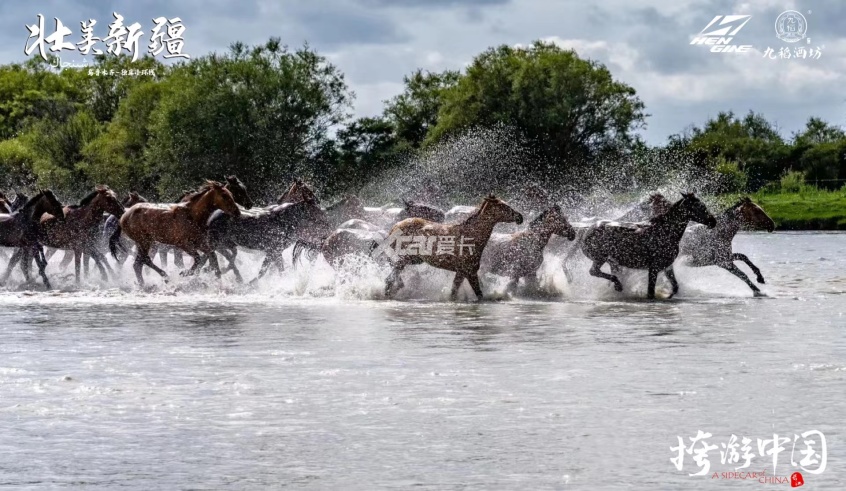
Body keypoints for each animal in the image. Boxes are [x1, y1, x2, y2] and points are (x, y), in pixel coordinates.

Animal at [109, 183, 242, 286]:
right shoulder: (183, 244)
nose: (237, 212)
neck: (193, 216)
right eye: (224, 195)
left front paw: (217, 278)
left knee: (140, 263)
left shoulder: (200, 243)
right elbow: (198, 259)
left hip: (144, 243)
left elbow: (212, 256)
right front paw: (185, 273)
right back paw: (160, 279)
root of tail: (123, 216)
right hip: (144, 241)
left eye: (231, 194)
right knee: (141, 262)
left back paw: (150, 282)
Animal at [380, 195, 524, 302]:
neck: (470, 237)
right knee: (390, 278)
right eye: (503, 206)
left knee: (392, 276)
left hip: (414, 260)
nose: (520, 217)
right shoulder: (468, 272)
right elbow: (476, 294)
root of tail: (395, 226)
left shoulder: (464, 272)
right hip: (405, 258)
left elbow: (459, 292)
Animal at [580, 192, 720, 300]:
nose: (713, 221)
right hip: (600, 257)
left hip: (612, 261)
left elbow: (675, 287)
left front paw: (667, 296)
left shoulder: (667, 266)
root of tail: (588, 231)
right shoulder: (654, 267)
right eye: (699, 207)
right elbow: (650, 292)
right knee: (593, 271)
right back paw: (618, 285)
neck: (666, 232)